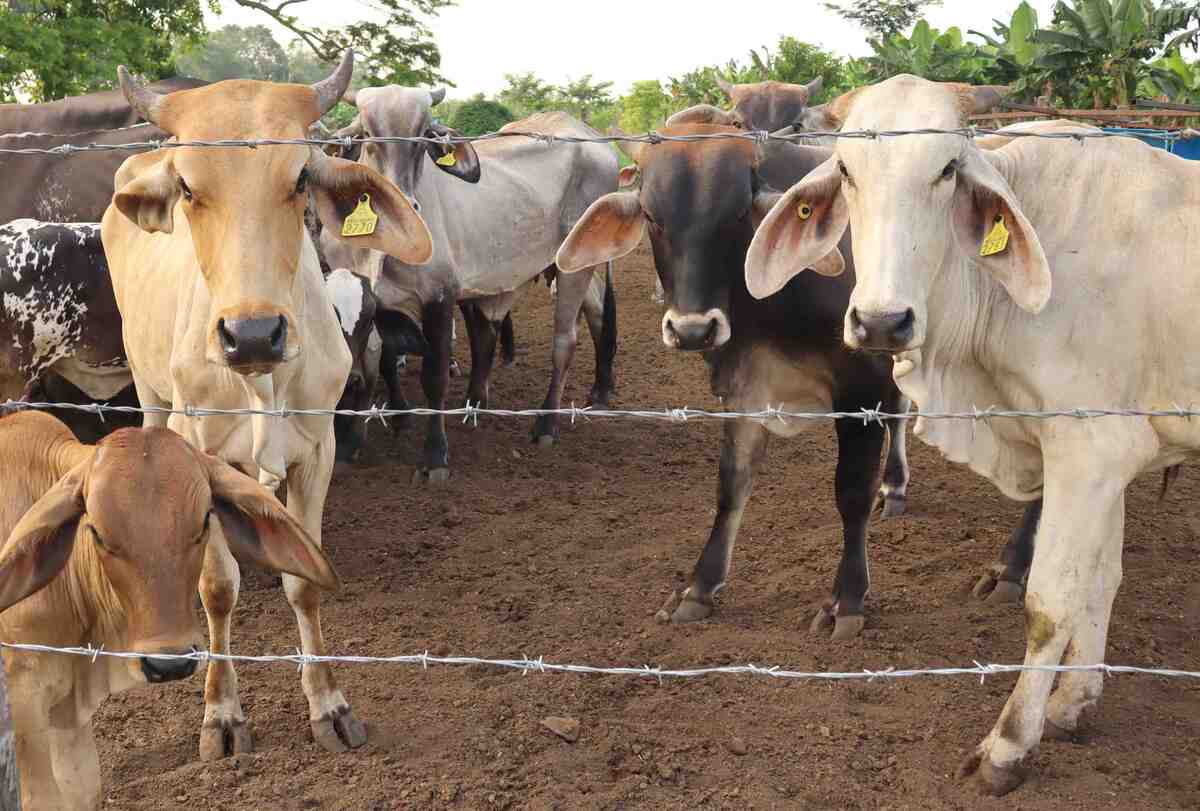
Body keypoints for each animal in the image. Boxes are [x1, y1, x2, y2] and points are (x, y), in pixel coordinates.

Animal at [100, 51, 434, 758]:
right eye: (188, 186)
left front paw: (328, 704)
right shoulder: (196, 449)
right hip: (148, 391)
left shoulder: (318, 448)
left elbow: (305, 582)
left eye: (301, 176)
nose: (252, 334)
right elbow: (216, 589)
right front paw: (222, 714)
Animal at [335, 92, 618, 480]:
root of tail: (586, 131)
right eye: (367, 136)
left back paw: (547, 423)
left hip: (577, 267)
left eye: (423, 136)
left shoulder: (440, 297)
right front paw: (351, 443)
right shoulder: (370, 302)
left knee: (565, 341)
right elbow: (371, 367)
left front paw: (435, 456)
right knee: (593, 312)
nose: (405, 208)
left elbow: (434, 377)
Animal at [555, 125, 910, 639]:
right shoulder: (743, 387)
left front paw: (846, 600)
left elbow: (851, 491)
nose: (692, 330)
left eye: (738, 214)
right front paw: (699, 588)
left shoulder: (861, 387)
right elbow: (731, 484)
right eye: (651, 216)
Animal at [744, 74, 1200, 794]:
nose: (882, 321)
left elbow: (1051, 602)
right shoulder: (1112, 456)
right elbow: (1101, 581)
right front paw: (1073, 705)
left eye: (948, 169)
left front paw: (1009, 745)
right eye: (846, 170)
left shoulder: (1089, 450)